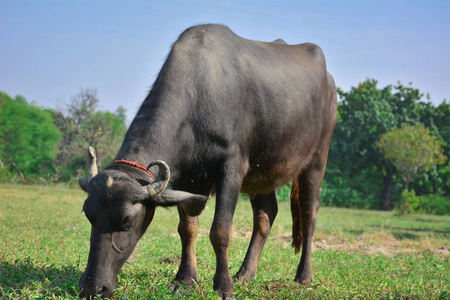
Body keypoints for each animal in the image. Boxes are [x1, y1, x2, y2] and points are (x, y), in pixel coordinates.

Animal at [78, 22, 338, 298]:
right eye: (88, 214)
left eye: (127, 220)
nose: (92, 287)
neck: (201, 95)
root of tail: (329, 82)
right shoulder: (187, 178)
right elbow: (187, 229)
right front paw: (185, 279)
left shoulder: (232, 168)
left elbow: (220, 231)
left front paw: (223, 285)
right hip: (263, 173)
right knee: (266, 214)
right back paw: (245, 273)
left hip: (317, 158)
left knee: (309, 213)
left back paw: (303, 276)